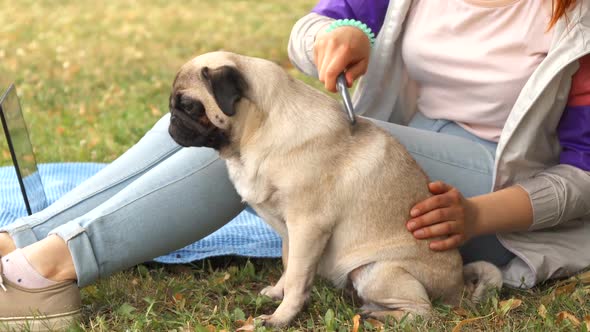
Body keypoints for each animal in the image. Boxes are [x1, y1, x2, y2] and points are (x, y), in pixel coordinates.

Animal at [168, 52, 504, 326]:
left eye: (189, 106)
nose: (171, 121)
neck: (257, 132)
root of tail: (459, 289)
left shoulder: (308, 226)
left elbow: (297, 279)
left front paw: (280, 318)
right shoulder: (290, 232)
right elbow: (289, 267)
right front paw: (277, 293)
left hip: (376, 271)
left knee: (423, 312)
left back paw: (377, 315)